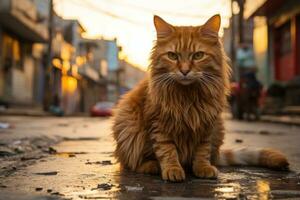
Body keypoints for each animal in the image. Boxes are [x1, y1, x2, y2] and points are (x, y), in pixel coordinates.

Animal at [112, 14, 288, 182]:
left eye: (198, 56)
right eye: (172, 56)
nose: (184, 71)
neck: (188, 96)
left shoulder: (206, 124)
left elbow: (202, 151)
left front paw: (202, 168)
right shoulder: (159, 124)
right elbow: (167, 150)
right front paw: (172, 169)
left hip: (219, 129)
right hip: (128, 124)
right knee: (131, 163)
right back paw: (152, 166)